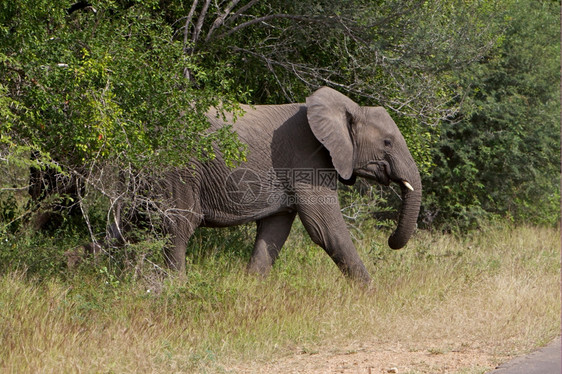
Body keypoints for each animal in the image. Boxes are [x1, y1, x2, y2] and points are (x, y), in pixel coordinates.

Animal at [155, 86, 418, 284]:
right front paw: (372, 295)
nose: (390, 240)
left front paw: (251, 287)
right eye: (387, 142)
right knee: (178, 227)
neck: (349, 108)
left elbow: (275, 230)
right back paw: (176, 288)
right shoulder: (307, 161)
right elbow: (326, 229)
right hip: (180, 169)